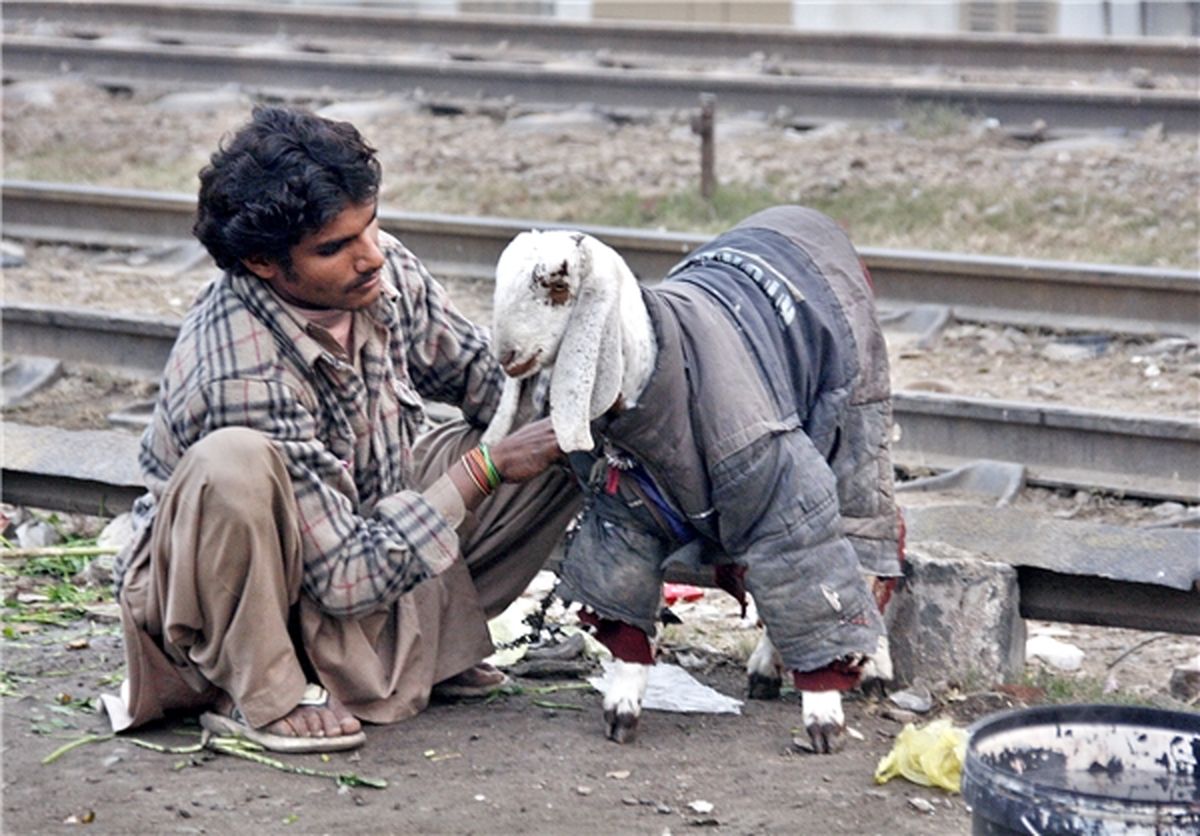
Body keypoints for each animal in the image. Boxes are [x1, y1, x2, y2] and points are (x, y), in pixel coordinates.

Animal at [482, 207, 902, 748]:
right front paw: (622, 706)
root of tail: (808, 216)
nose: (507, 356)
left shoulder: (772, 476)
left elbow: (808, 570)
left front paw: (823, 714)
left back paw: (869, 666)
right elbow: (624, 597)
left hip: (854, 417)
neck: (657, 374)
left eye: (557, 285)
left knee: (869, 541)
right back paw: (768, 670)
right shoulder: (624, 519)